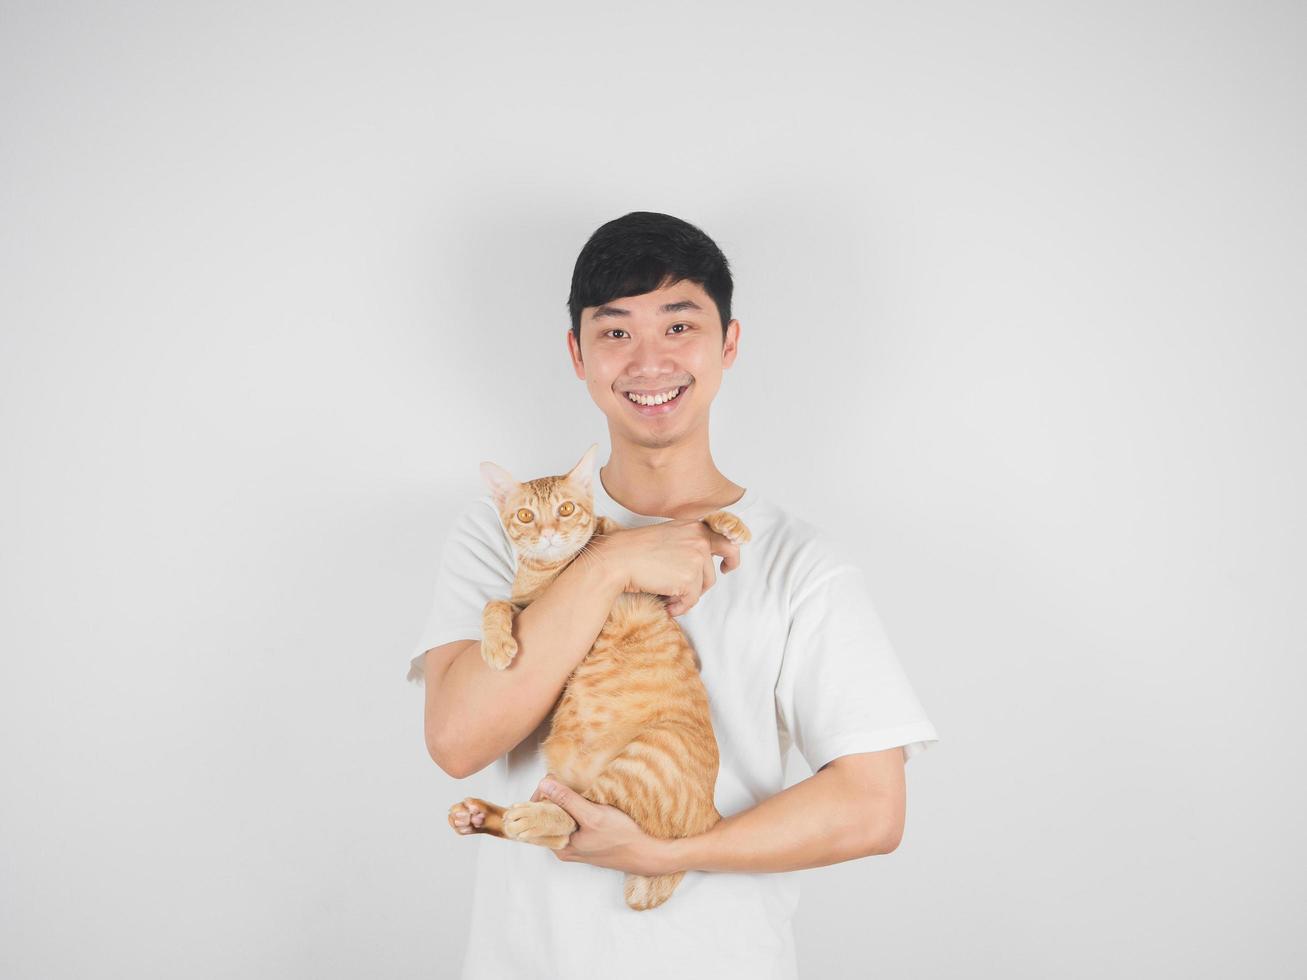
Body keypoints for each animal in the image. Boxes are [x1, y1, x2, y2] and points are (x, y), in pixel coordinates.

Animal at [444, 444, 752, 914]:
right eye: (526, 516)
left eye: (566, 509)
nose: (549, 533)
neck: (559, 569)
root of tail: (709, 816)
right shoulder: (528, 607)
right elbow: (493, 604)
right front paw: (496, 647)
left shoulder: (657, 591)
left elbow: (697, 521)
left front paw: (729, 524)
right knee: (565, 824)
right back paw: (482, 815)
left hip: (647, 756)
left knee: (575, 821)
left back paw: (515, 816)